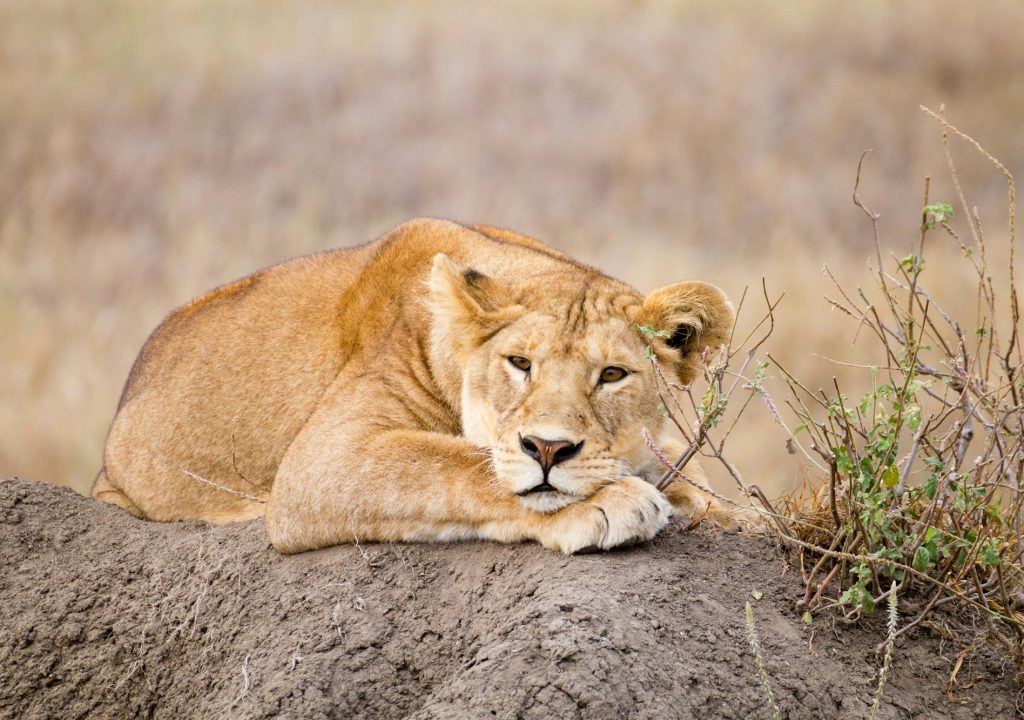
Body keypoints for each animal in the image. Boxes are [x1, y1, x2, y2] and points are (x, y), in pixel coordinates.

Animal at [92, 218, 752, 554]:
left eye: (612, 375)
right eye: (519, 363)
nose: (548, 449)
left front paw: (735, 516)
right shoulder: (324, 457)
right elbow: (457, 465)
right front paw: (609, 503)